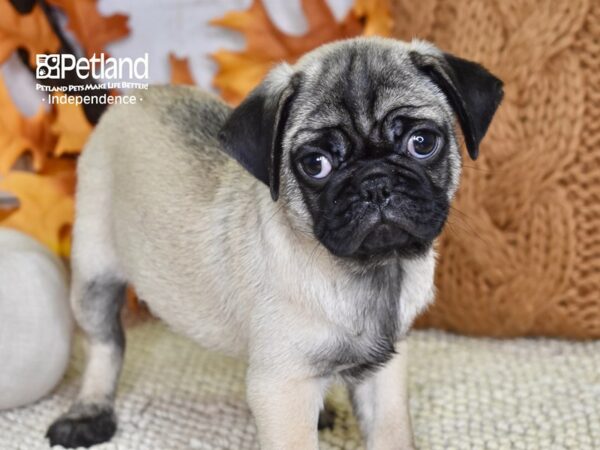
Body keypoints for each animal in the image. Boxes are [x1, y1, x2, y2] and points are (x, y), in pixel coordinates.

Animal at [47, 37, 502, 448]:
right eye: (316, 164)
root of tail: (122, 102)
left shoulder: (382, 374)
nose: (375, 183)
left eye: (422, 143)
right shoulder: (282, 389)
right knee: (106, 345)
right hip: (94, 274)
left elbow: (392, 435)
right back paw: (88, 413)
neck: (370, 273)